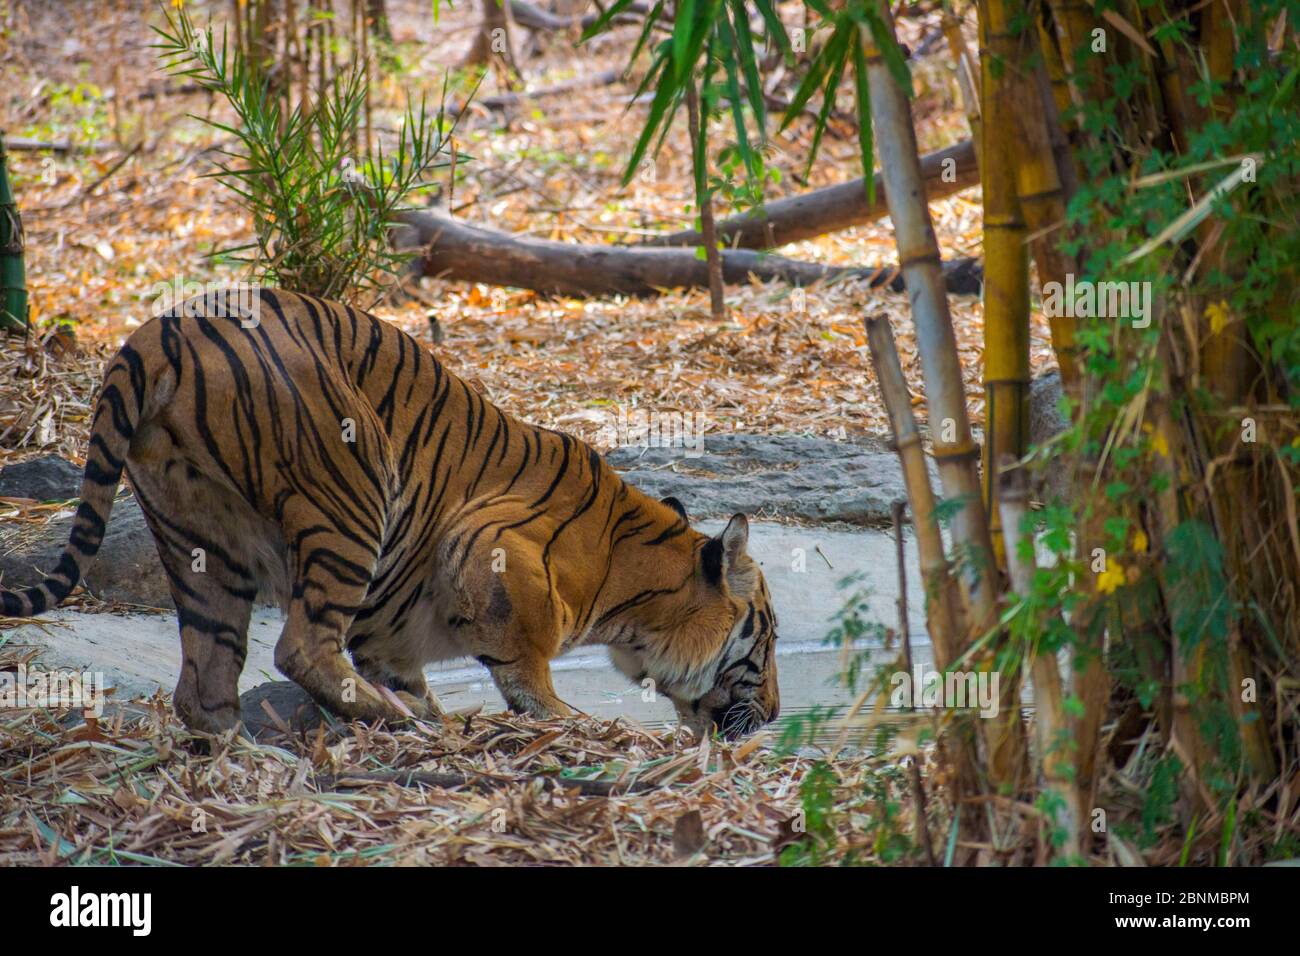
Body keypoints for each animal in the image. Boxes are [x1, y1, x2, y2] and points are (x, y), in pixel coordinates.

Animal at [2, 290, 780, 738]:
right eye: (766, 638)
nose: (775, 715)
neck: (635, 588)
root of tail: (158, 332)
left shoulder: (395, 625)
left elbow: (402, 661)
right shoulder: (494, 543)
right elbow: (526, 668)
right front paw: (574, 724)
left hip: (199, 539)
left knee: (205, 683)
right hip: (353, 493)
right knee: (299, 647)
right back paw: (395, 723)